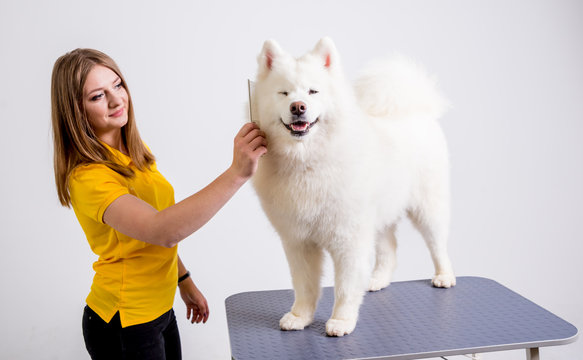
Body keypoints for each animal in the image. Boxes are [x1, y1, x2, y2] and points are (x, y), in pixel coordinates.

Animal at [251, 38, 456, 336]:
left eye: (313, 91)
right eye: (284, 93)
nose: (298, 107)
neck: (307, 161)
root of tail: (416, 109)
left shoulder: (348, 237)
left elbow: (346, 286)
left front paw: (341, 321)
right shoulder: (298, 240)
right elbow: (304, 284)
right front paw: (300, 316)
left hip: (427, 208)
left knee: (438, 244)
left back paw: (444, 276)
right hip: (379, 215)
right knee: (390, 248)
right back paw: (378, 280)